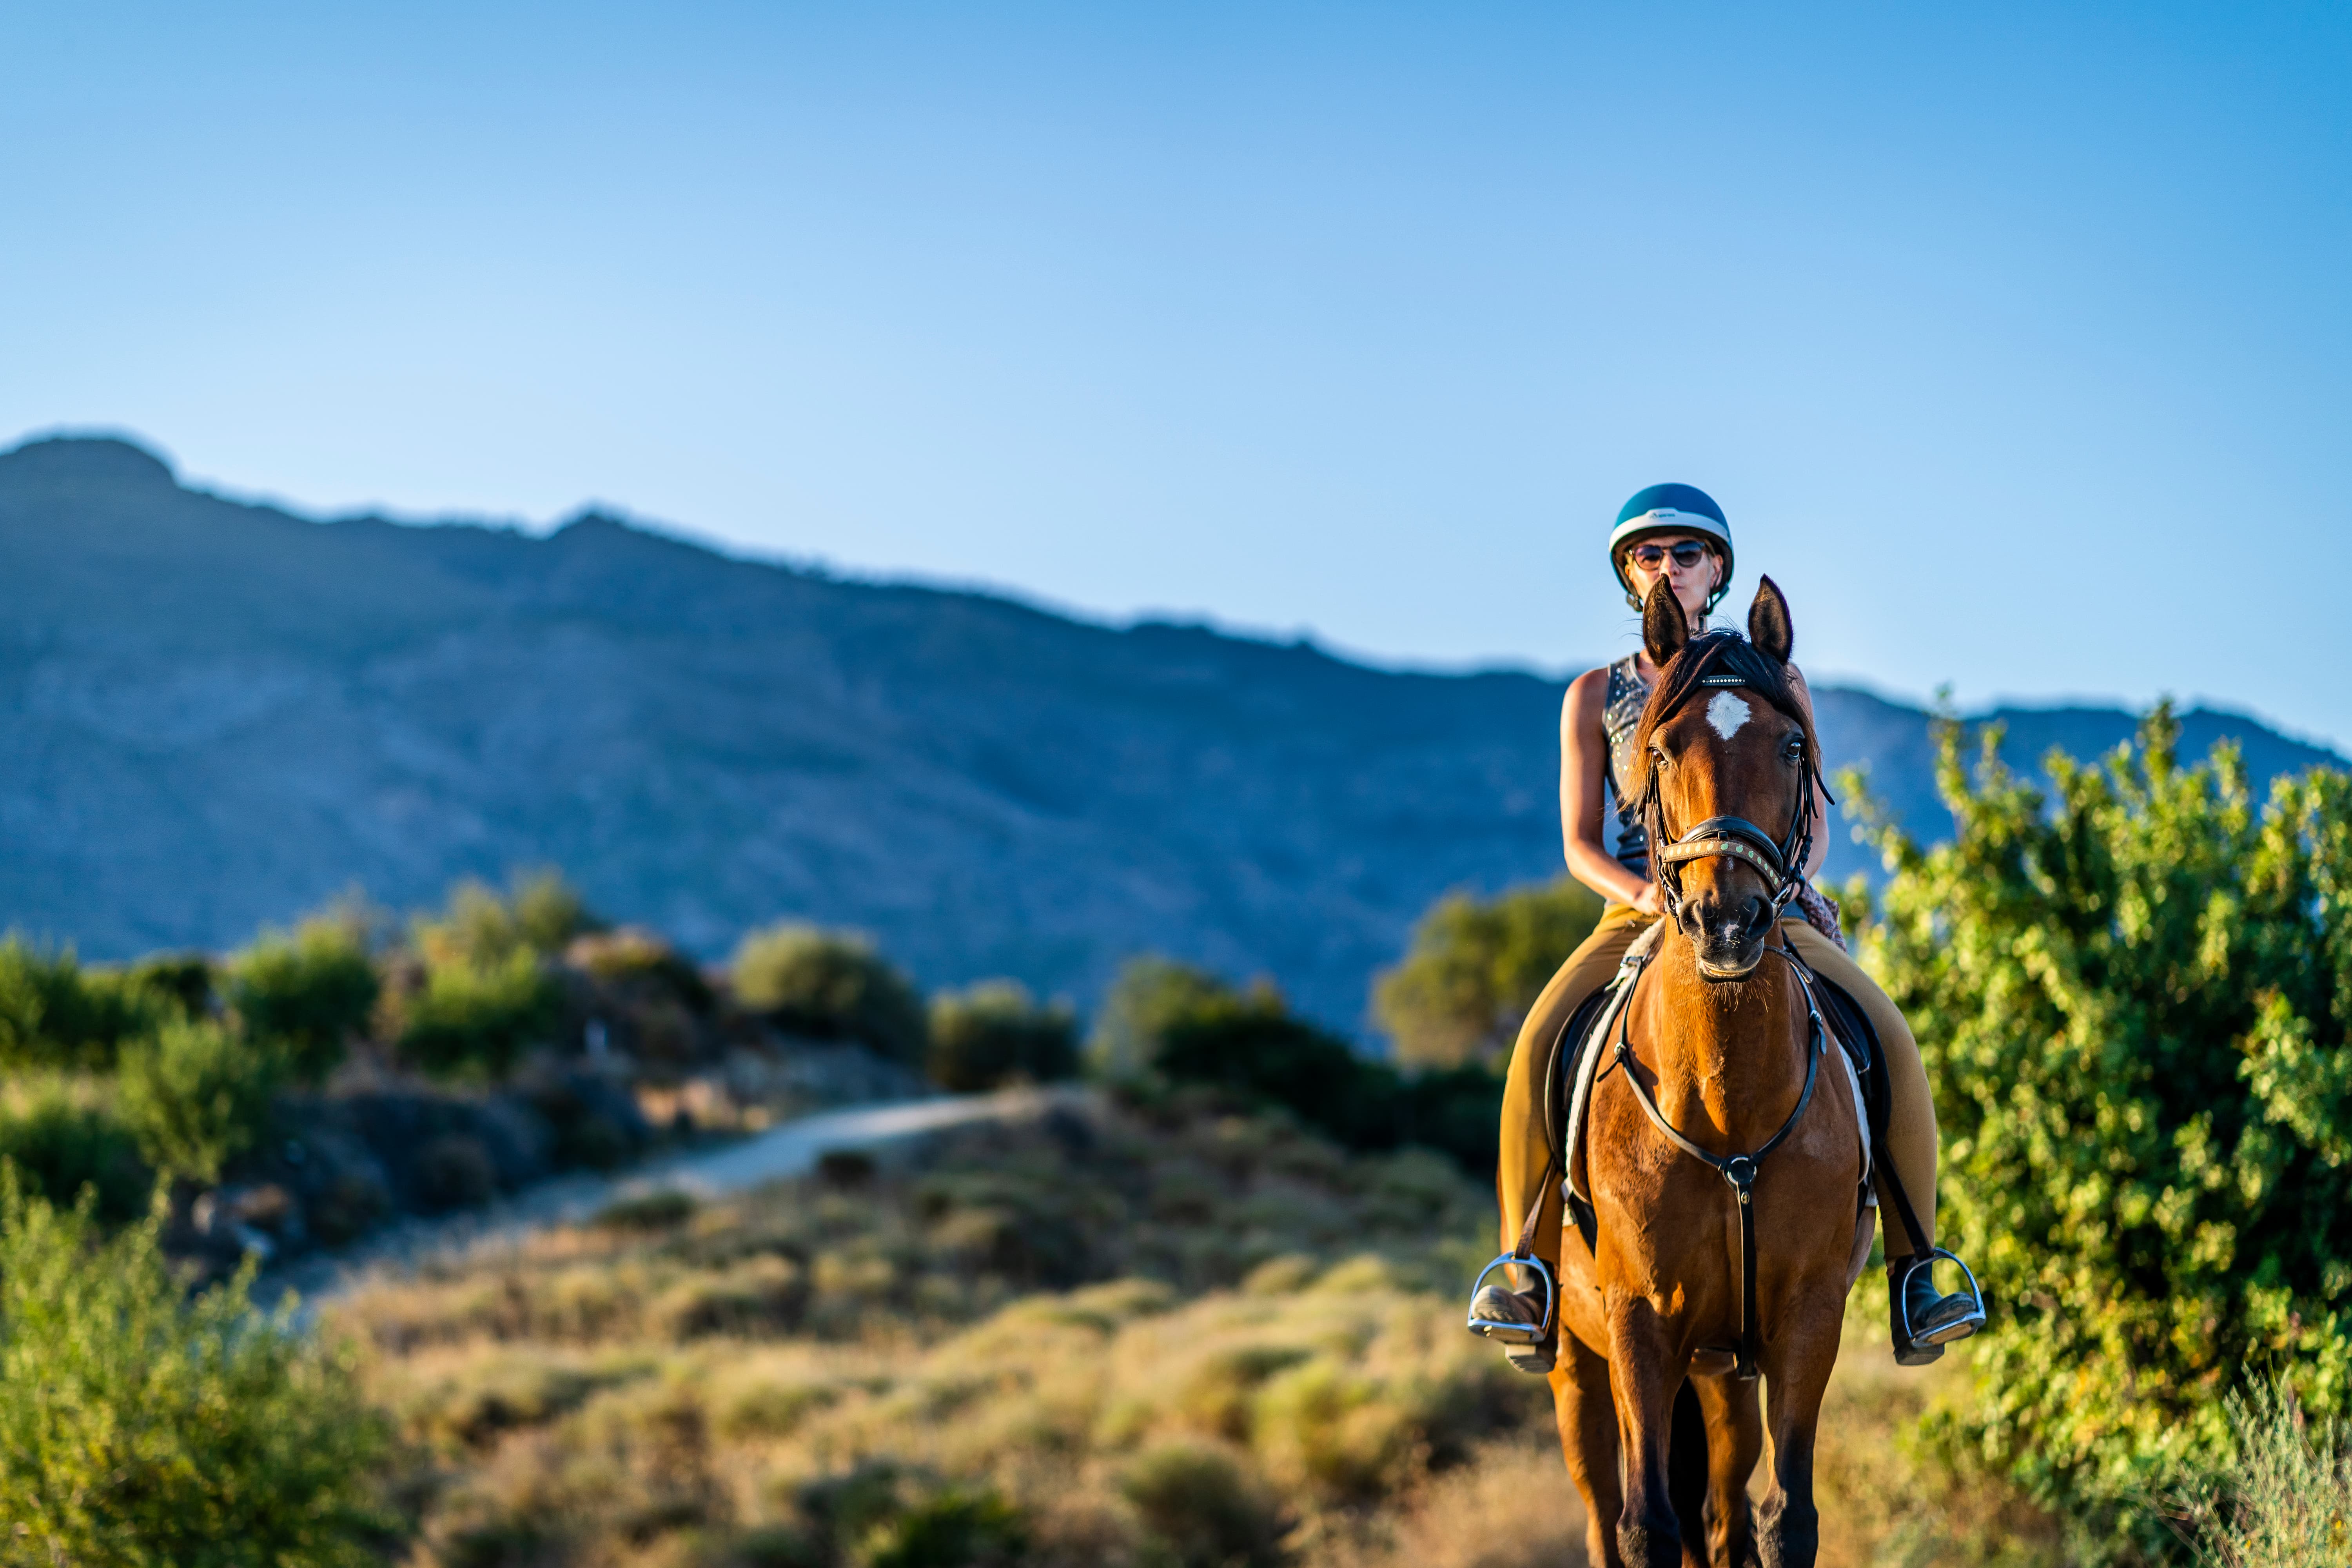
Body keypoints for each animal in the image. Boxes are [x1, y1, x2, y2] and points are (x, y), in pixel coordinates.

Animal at [1543, 581, 1872, 1568]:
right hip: (1578, 1365)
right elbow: (1645, 1525)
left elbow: (1786, 1520)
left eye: (1794, 745)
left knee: (1724, 1515)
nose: (1726, 919)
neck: (1727, 1110)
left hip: (1724, 1370)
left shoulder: (1806, 1317)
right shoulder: (1640, 1321)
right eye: (1659, 748)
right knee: (1603, 1511)